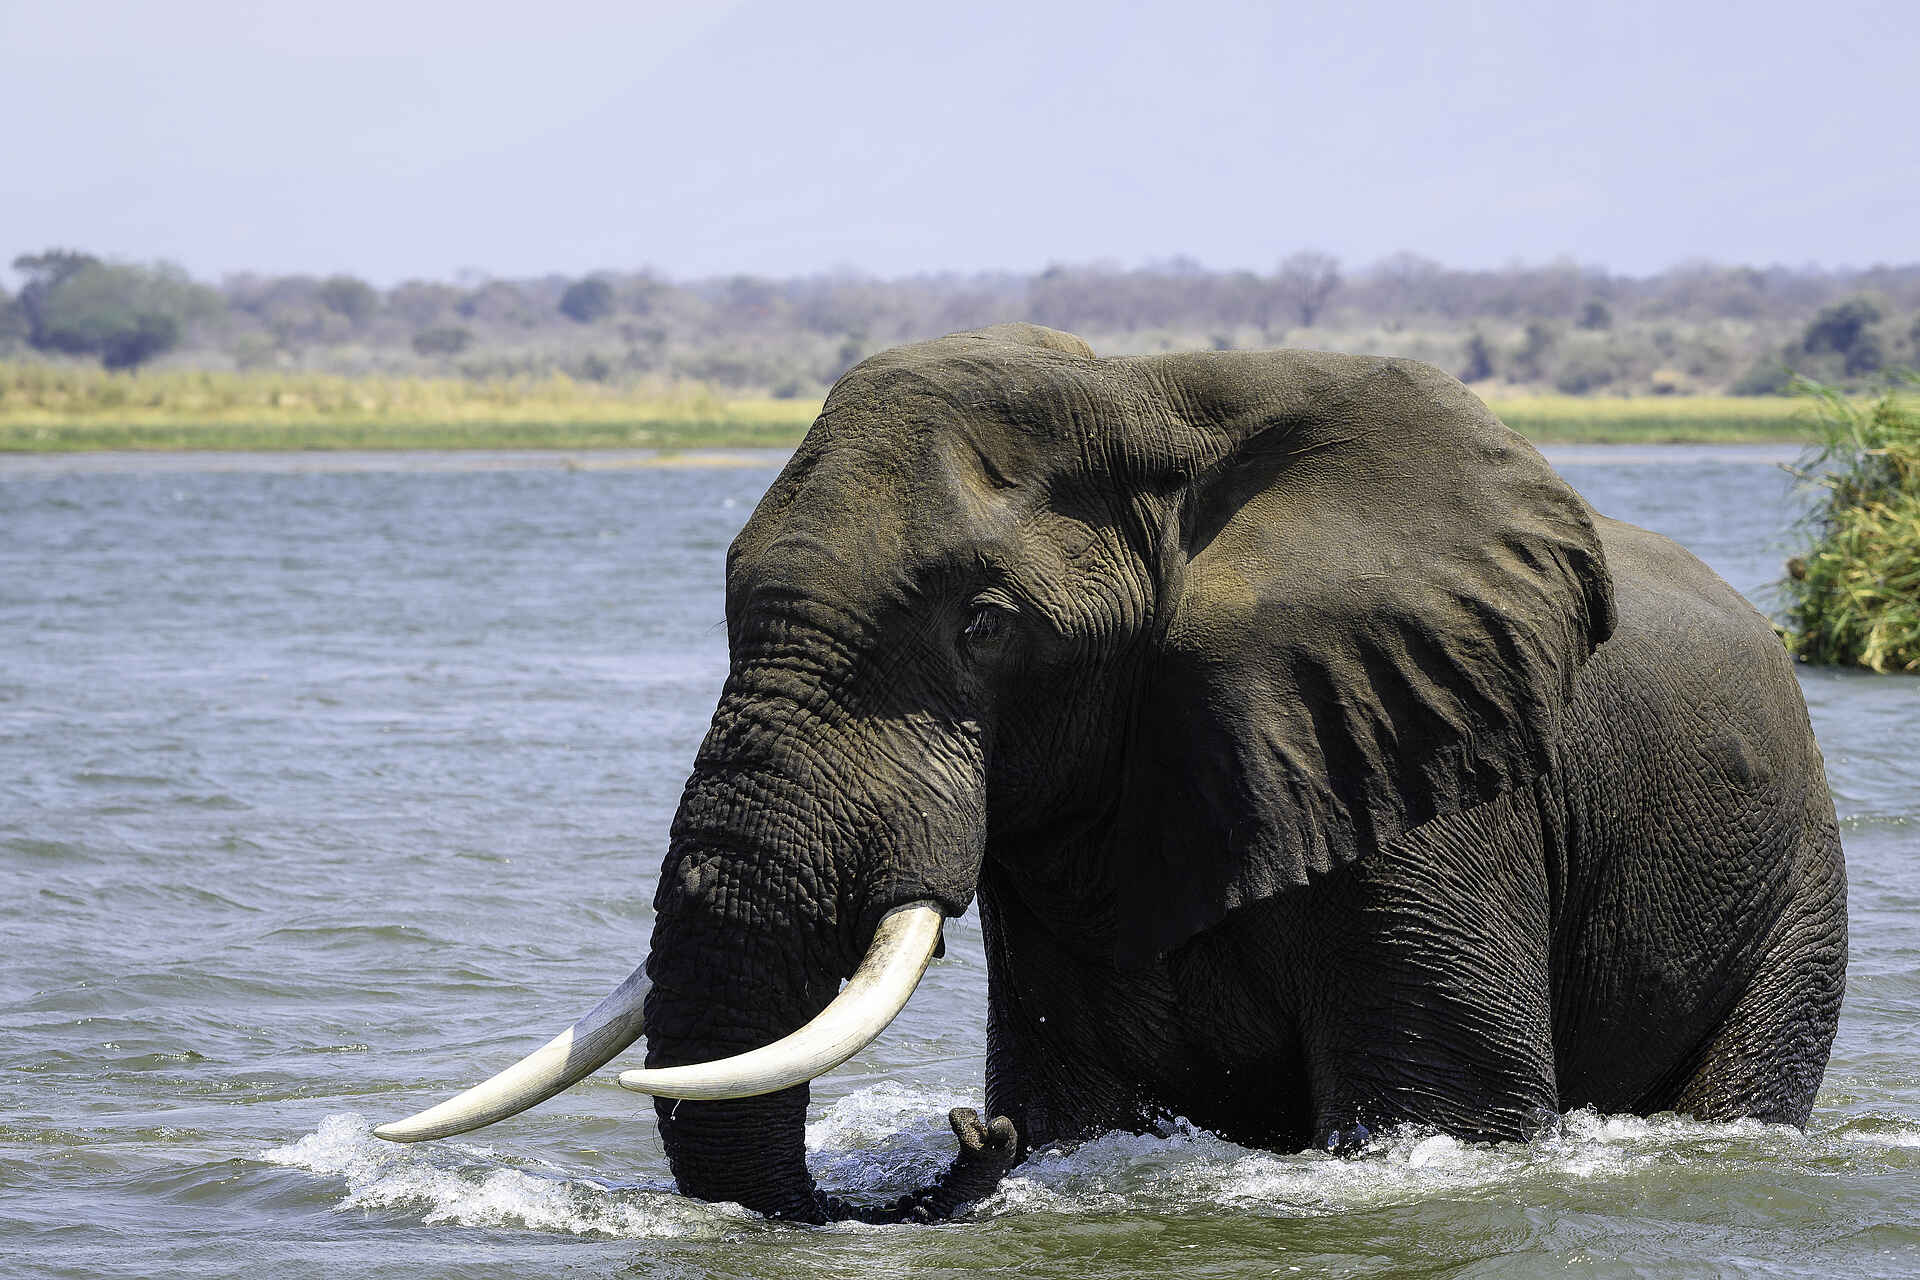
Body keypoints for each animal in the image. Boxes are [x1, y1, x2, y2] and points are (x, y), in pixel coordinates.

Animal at [376, 323, 1847, 1224]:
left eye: (983, 626)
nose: (973, 1137)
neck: (1155, 396)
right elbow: (1077, 1096)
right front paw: (1040, 1140)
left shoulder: (1435, 773)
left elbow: (1450, 1106)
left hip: (1794, 894)